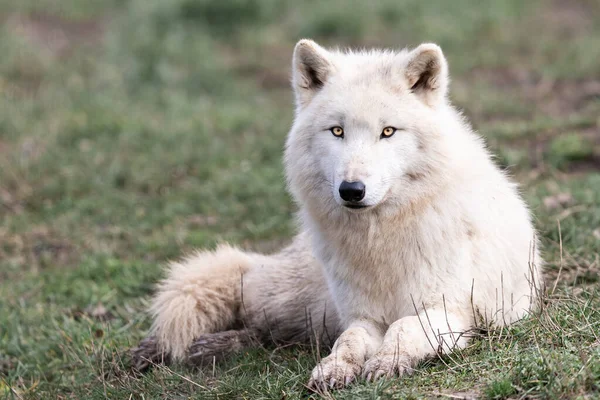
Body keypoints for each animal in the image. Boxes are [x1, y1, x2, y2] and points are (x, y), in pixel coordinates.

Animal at [132, 39, 544, 390]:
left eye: (388, 131)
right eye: (337, 131)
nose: (351, 190)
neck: (380, 241)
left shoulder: (449, 312)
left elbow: (403, 329)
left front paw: (385, 362)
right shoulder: (362, 316)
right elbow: (348, 342)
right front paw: (335, 369)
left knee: (264, 331)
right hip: (289, 299)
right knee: (238, 298)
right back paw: (158, 350)